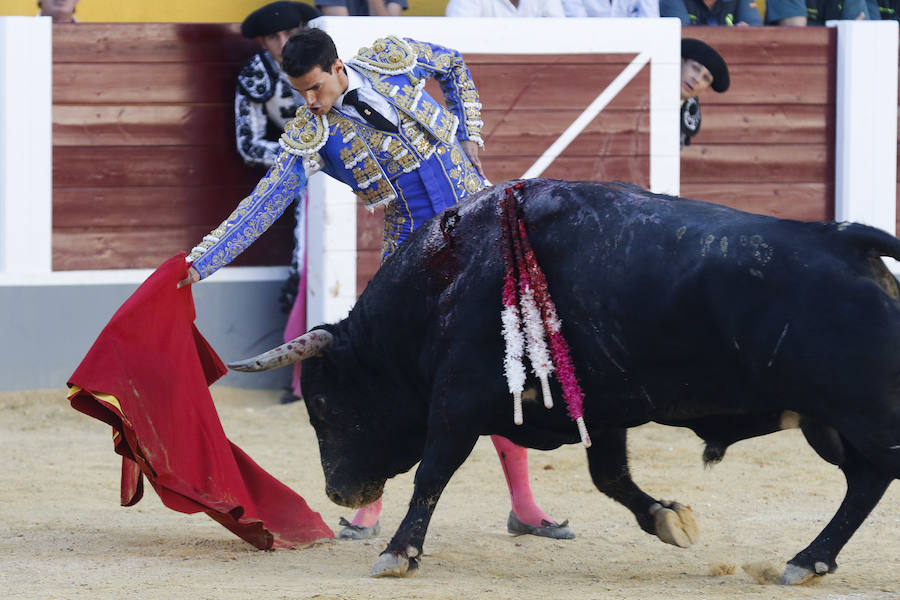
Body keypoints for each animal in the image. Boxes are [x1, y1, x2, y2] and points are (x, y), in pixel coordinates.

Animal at [229, 178, 896, 580]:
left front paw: (397, 552)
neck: (449, 279)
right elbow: (611, 478)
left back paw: (809, 559)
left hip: (864, 411)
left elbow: (432, 472)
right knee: (865, 481)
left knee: (873, 474)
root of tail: (847, 240)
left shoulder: (459, 400)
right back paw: (810, 561)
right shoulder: (600, 409)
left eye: (323, 405)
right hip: (829, 422)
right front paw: (670, 520)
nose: (340, 493)